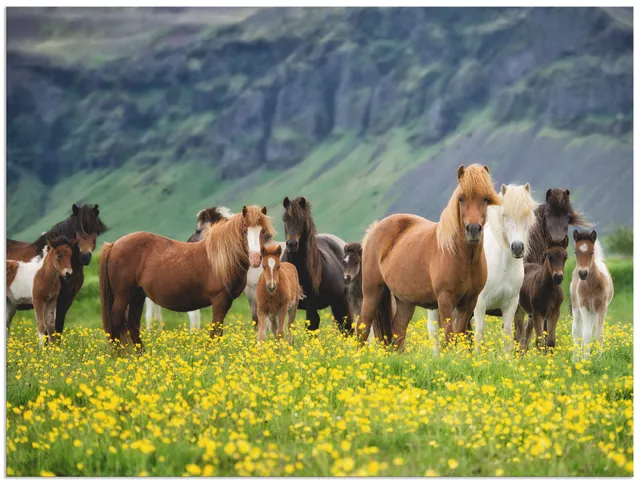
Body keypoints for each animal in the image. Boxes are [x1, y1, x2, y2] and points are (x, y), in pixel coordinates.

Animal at [100, 205, 275, 349]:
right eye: (245, 230)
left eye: (263, 232)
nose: (255, 258)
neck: (221, 257)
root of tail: (114, 245)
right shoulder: (219, 300)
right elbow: (215, 329)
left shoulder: (227, 301)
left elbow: (218, 331)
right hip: (123, 296)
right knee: (115, 322)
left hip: (137, 296)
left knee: (133, 325)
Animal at [281, 196, 353, 335]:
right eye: (284, 219)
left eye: (301, 219)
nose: (292, 244)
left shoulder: (311, 304)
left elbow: (311, 326)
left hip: (341, 300)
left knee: (347, 327)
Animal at [360, 164, 501, 352]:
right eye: (461, 198)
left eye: (485, 198)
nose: (473, 230)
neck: (460, 256)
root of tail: (374, 229)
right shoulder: (445, 300)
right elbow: (449, 336)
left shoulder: (469, 303)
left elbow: (459, 334)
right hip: (372, 292)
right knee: (362, 327)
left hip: (405, 301)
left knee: (398, 330)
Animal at [426, 183, 538, 352]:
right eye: (505, 215)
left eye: (527, 215)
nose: (517, 248)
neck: (502, 265)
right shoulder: (479, 304)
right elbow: (479, 334)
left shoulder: (510, 305)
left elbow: (507, 337)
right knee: (434, 333)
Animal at [570, 230, 614, 360]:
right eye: (576, 252)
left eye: (591, 252)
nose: (583, 273)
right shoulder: (584, 306)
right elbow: (586, 334)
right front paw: (586, 360)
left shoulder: (602, 307)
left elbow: (599, 334)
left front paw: (598, 359)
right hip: (577, 308)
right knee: (577, 332)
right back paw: (576, 359)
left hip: (593, 313)